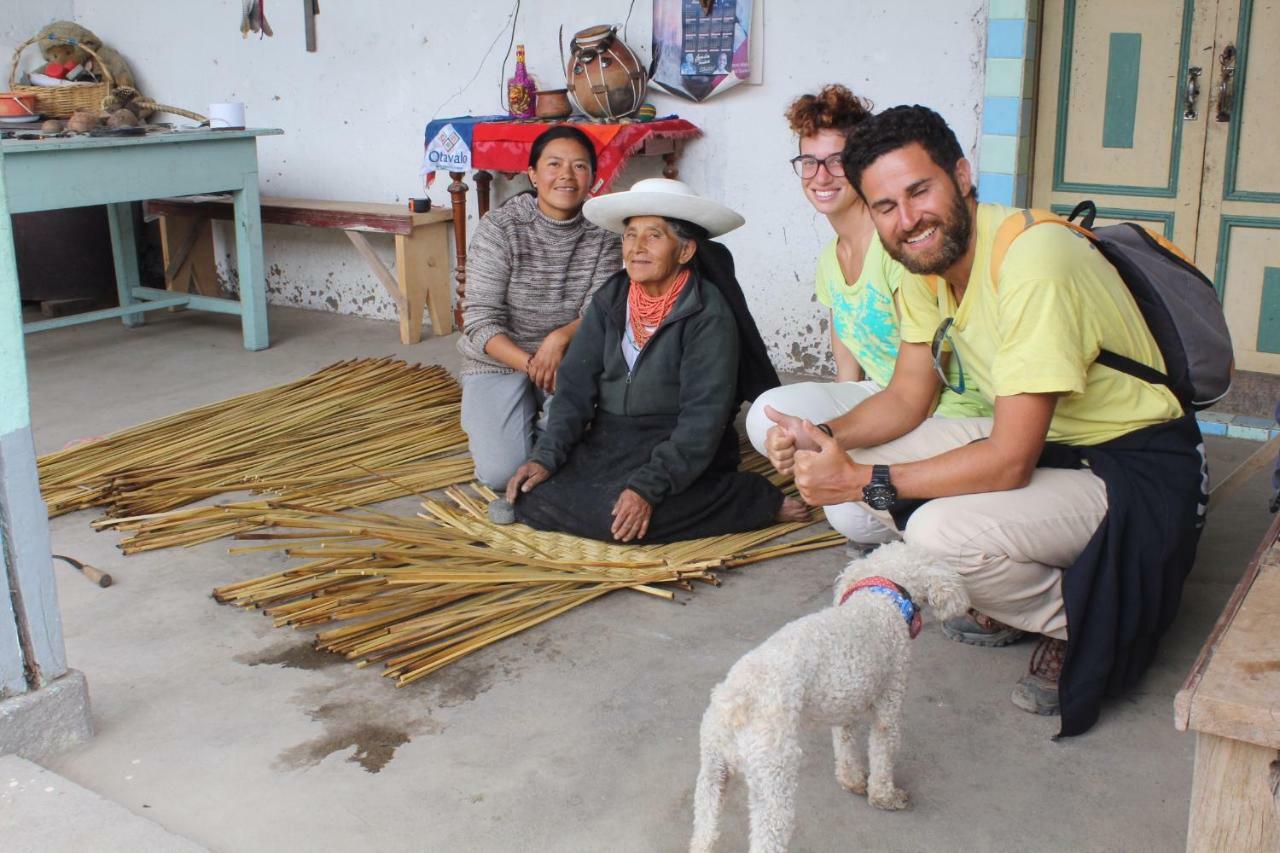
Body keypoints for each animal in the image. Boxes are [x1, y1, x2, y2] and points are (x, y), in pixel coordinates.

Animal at [691, 540, 967, 845]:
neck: (883, 599)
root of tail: (735, 700)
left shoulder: (844, 703)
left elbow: (845, 745)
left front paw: (852, 781)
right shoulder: (890, 698)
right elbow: (883, 750)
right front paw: (885, 797)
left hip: (711, 774)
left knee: (703, 834)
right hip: (773, 773)